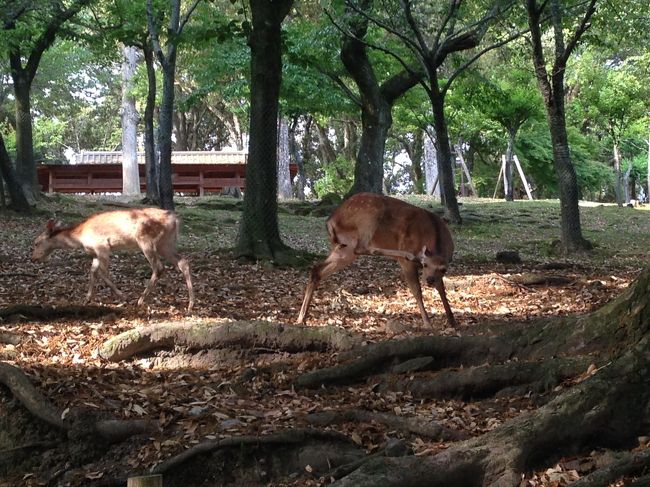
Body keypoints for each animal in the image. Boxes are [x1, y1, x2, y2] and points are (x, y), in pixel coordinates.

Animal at [296, 193, 454, 328]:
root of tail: (330, 222)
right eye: (424, 264)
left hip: (345, 249)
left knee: (317, 270)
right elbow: (417, 290)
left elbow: (442, 289)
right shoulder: (407, 264)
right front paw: (427, 322)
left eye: (443, 269)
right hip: (369, 216)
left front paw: (451, 319)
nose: (429, 280)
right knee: (362, 248)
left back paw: (301, 318)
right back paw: (406, 254)